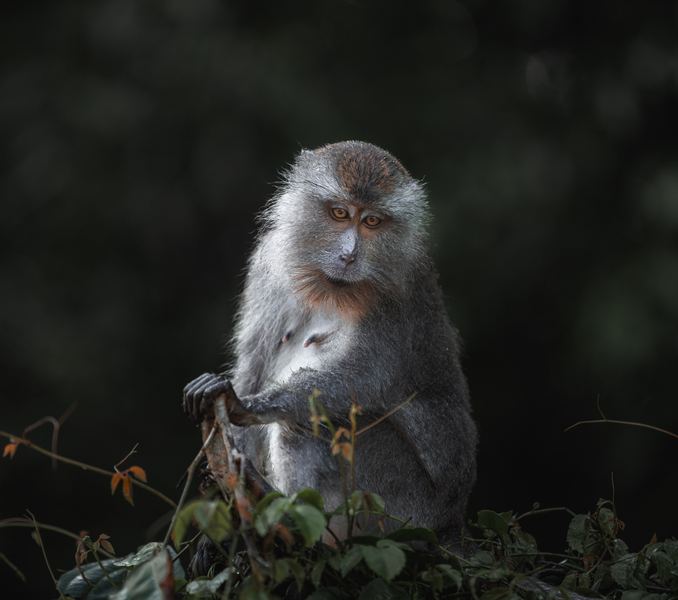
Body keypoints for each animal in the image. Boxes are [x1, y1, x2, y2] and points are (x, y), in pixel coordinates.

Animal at [183, 141, 477, 570]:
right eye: (340, 214)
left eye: (371, 221)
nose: (349, 255)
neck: (331, 287)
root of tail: (451, 523)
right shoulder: (269, 263)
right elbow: (254, 366)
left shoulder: (397, 292)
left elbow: (362, 379)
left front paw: (246, 405)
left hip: (399, 508)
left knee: (306, 426)